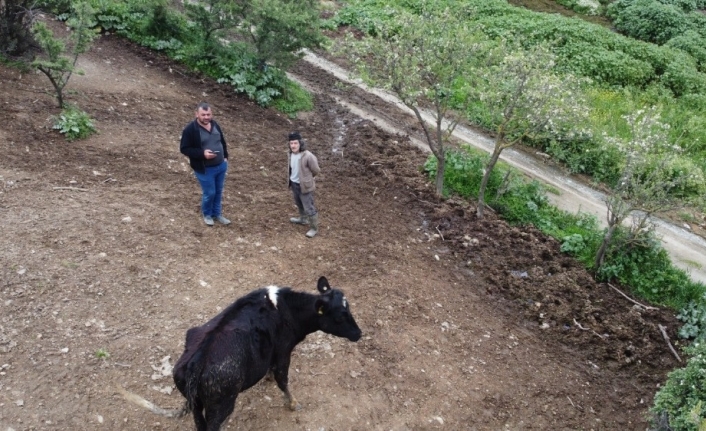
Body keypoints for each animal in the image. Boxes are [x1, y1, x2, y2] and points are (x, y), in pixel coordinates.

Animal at [119, 276, 358, 431]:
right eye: (340, 315)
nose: (359, 333)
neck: (286, 309)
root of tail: (196, 363)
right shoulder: (283, 352)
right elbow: (283, 380)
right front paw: (292, 403)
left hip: (197, 406)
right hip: (221, 406)